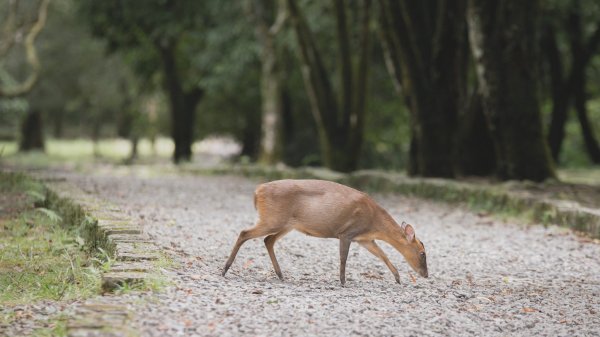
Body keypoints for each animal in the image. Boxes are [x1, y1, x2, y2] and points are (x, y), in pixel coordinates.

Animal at [223, 178, 428, 284]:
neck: (374, 221)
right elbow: (344, 258)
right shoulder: (347, 232)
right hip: (273, 219)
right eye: (422, 253)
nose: (426, 274)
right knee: (244, 233)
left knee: (268, 240)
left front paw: (398, 277)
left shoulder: (364, 238)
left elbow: (382, 254)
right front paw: (343, 281)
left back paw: (281, 275)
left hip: (286, 224)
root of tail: (257, 191)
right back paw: (225, 269)